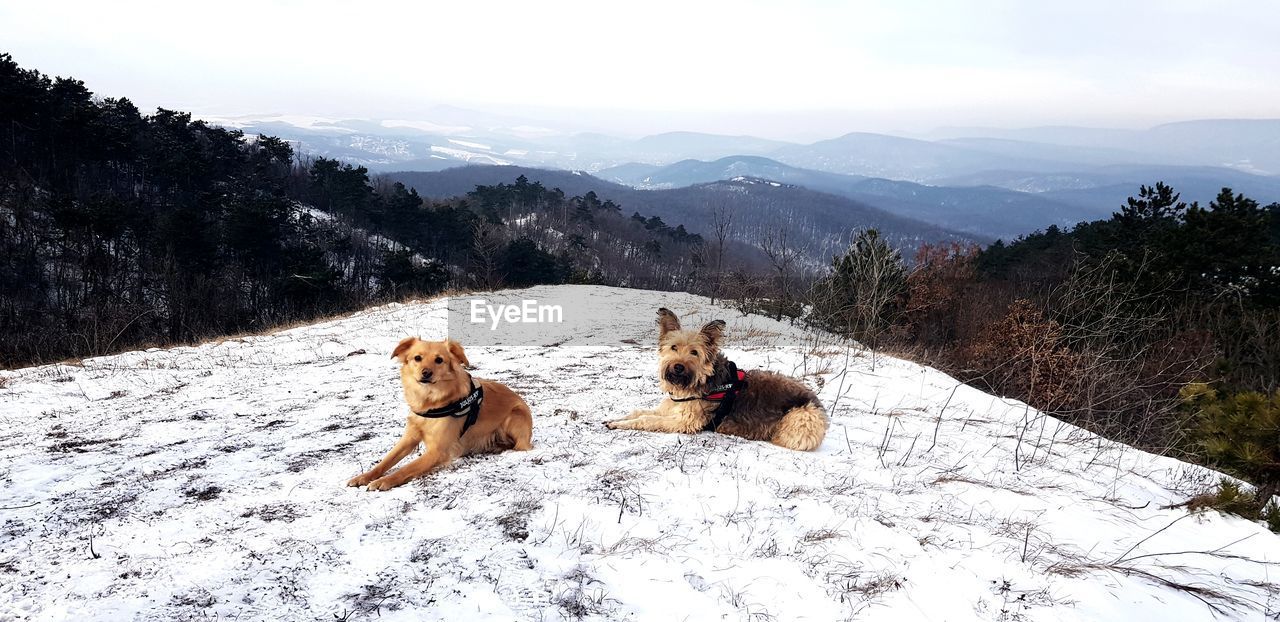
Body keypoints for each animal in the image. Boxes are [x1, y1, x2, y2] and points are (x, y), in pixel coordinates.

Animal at [343, 337, 532, 494]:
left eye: (439, 360)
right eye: (417, 358)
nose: (426, 372)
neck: (429, 403)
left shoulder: (438, 451)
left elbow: (406, 468)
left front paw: (384, 481)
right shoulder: (410, 437)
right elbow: (387, 460)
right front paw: (364, 476)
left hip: (516, 415)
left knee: (520, 445)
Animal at [606, 308, 829, 450]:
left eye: (694, 352)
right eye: (674, 347)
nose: (678, 367)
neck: (698, 382)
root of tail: (817, 401)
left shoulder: (684, 421)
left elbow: (647, 419)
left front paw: (621, 424)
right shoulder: (669, 408)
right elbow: (639, 412)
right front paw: (616, 420)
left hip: (801, 419)